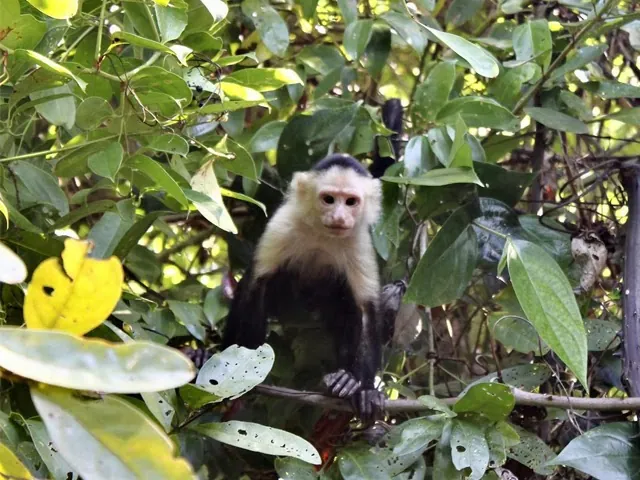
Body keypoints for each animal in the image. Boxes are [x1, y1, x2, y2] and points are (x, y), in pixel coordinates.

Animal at [222, 153, 390, 420]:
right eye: (329, 199)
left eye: (351, 202)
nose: (339, 217)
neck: (322, 234)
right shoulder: (282, 226)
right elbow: (258, 284)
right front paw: (244, 367)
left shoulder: (359, 243)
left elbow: (365, 311)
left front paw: (365, 391)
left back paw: (344, 381)